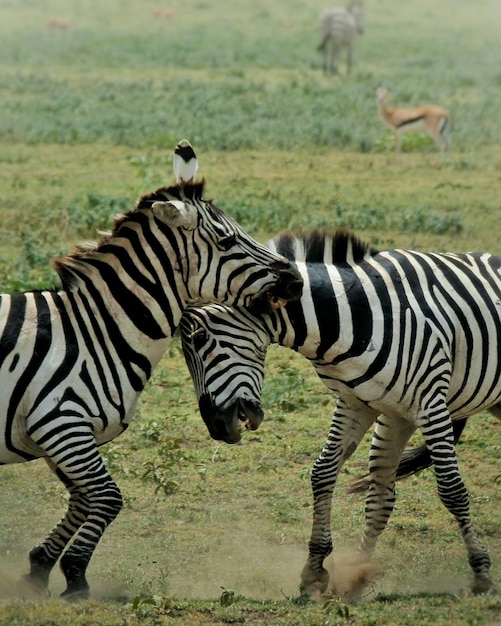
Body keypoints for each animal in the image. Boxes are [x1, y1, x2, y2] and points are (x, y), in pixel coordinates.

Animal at [0, 139, 300, 596]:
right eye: (228, 240)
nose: (297, 281)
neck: (97, 331)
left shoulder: (62, 437)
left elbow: (84, 498)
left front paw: (39, 567)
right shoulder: (60, 422)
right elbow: (107, 497)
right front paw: (75, 576)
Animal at [182, 228, 500, 596]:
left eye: (199, 339)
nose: (218, 427)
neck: (349, 317)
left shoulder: (431, 402)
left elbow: (451, 488)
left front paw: (481, 572)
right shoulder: (355, 403)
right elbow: (324, 474)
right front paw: (322, 570)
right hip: (401, 414)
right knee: (382, 493)